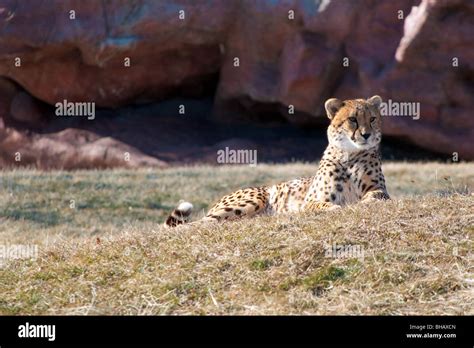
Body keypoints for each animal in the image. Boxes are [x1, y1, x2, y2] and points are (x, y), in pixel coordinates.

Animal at [165, 95, 390, 227]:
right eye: (353, 119)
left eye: (372, 119)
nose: (367, 135)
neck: (350, 155)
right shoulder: (310, 202)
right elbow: (322, 205)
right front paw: (335, 209)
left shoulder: (380, 191)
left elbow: (376, 196)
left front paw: (365, 203)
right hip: (253, 200)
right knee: (196, 224)